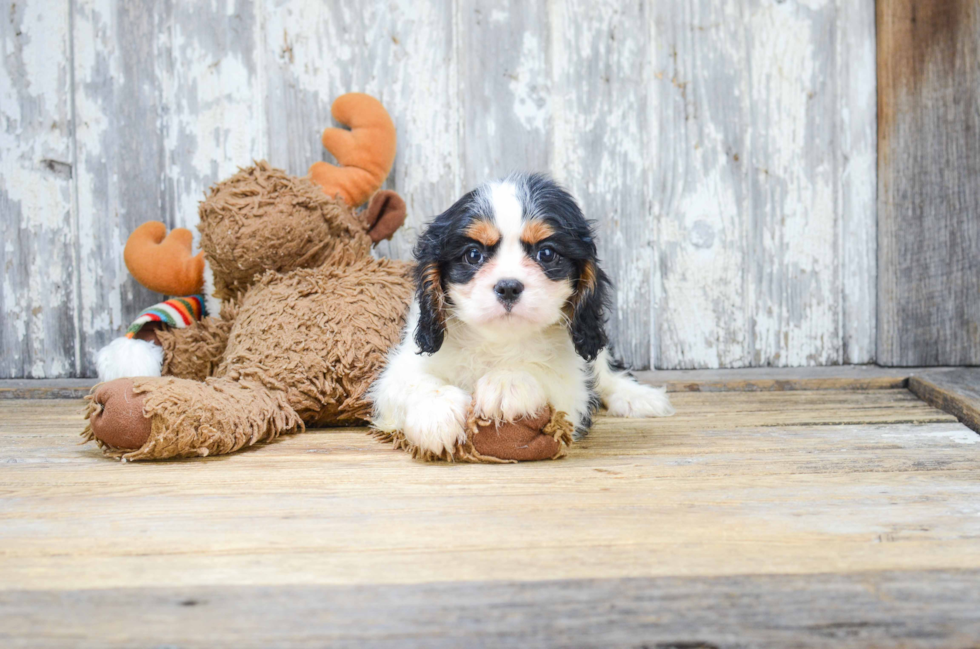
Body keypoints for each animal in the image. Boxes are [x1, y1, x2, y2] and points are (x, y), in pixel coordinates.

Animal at [368, 172, 672, 456]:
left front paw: (507, 382)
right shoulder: (401, 369)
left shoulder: (573, 387)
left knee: (605, 369)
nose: (508, 287)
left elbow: (546, 374)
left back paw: (635, 396)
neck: (499, 342)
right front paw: (437, 413)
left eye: (546, 254)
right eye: (473, 255)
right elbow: (412, 382)